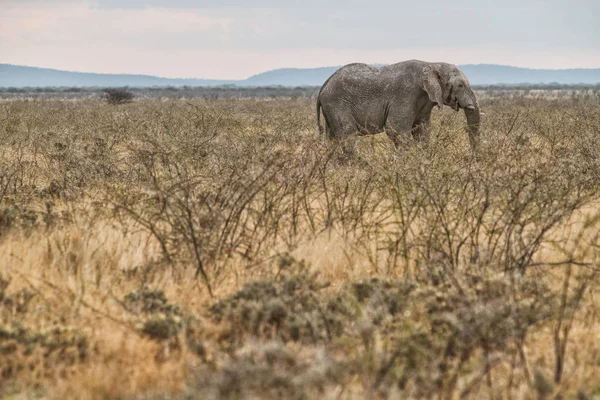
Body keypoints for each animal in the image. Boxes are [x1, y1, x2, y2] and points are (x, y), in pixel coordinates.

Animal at [316, 60, 480, 151]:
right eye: (460, 85)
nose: (473, 157)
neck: (432, 64)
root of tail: (323, 87)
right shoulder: (406, 94)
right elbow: (396, 129)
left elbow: (422, 131)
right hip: (337, 104)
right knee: (348, 134)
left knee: (332, 137)